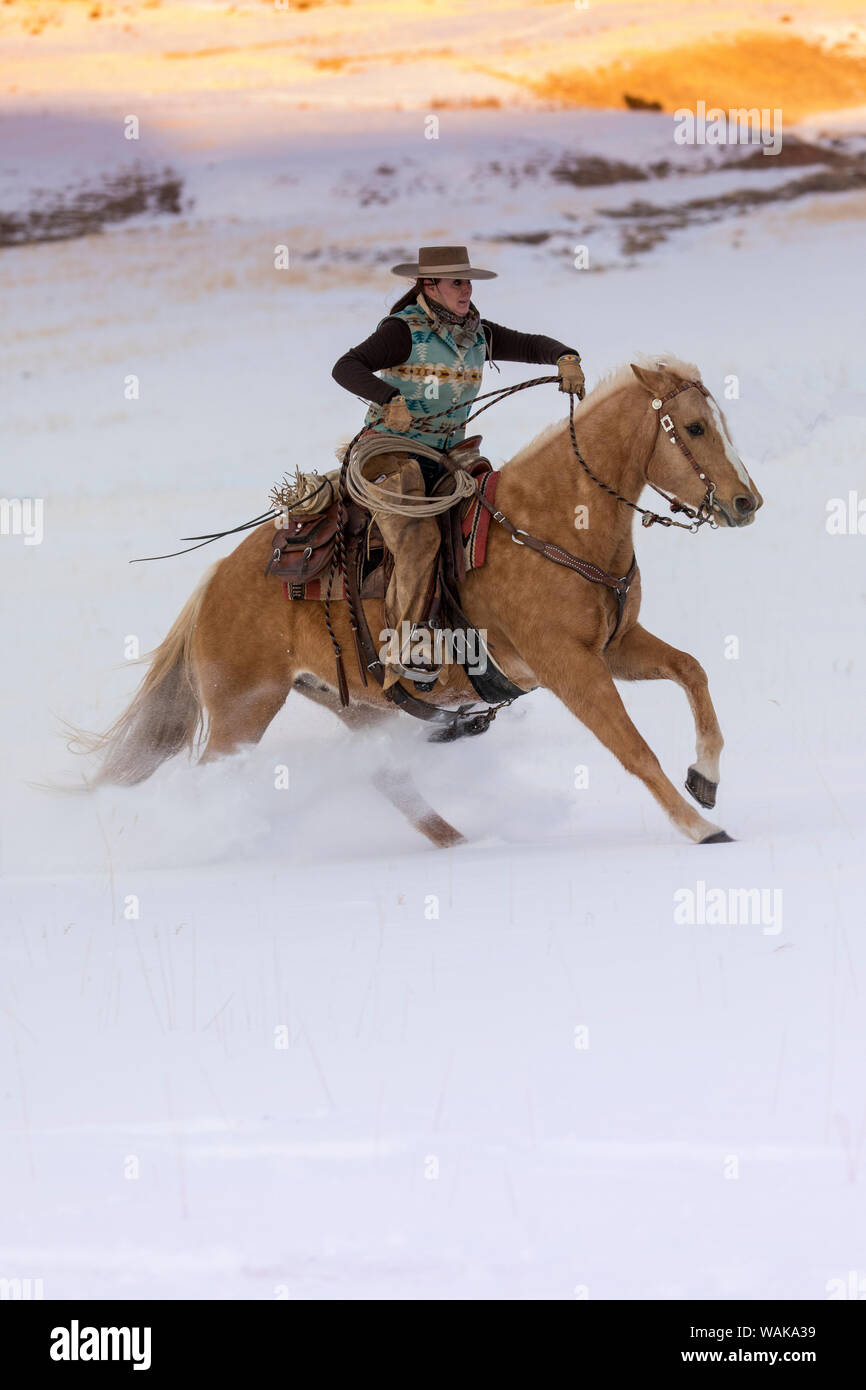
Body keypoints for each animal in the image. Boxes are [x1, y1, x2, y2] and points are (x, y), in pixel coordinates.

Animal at [78, 357, 762, 848]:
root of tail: (214, 582)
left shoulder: (616, 646)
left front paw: (705, 779)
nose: (746, 502)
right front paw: (703, 828)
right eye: (694, 427)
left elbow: (692, 672)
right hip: (242, 710)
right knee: (215, 779)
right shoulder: (570, 665)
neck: (551, 522)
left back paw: (461, 841)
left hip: (353, 705)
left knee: (388, 777)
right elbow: (632, 748)